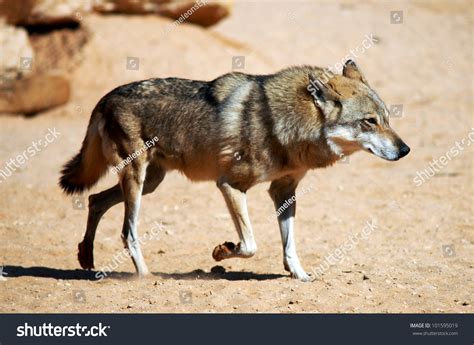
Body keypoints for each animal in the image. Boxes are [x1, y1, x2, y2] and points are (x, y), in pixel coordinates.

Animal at [58, 59, 408, 280]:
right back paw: (145, 275)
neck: (286, 125)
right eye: (369, 121)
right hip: (138, 179)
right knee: (127, 231)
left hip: (150, 182)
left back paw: (86, 257)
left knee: (95, 200)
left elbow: (290, 245)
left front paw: (300, 276)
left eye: (387, 119)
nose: (405, 150)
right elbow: (250, 245)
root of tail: (105, 98)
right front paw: (221, 251)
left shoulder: (283, 191)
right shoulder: (230, 185)